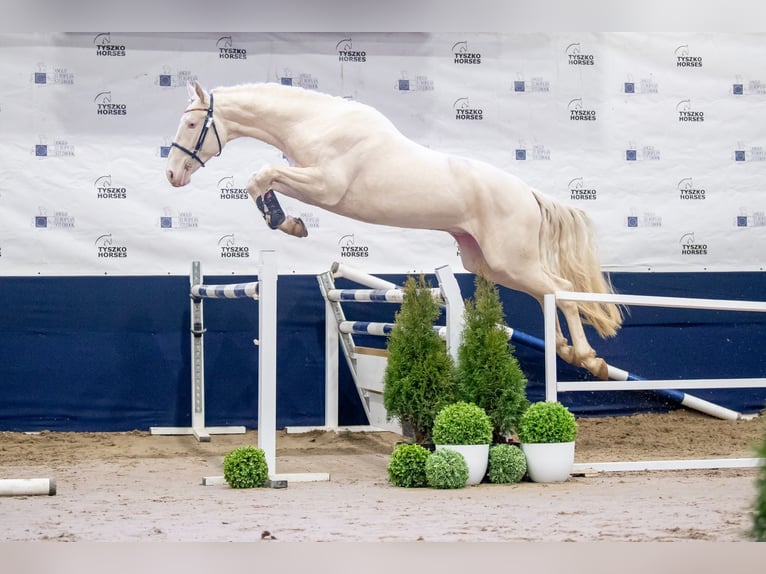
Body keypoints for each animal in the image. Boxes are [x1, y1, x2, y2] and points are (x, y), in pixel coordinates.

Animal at [166, 81, 622, 380]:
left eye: (190, 126)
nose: (172, 175)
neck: (318, 122)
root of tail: (528, 192)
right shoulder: (310, 181)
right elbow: (260, 180)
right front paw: (287, 221)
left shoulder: (325, 186)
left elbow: (260, 176)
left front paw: (287, 223)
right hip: (491, 263)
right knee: (547, 293)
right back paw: (566, 350)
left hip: (511, 258)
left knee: (560, 288)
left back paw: (588, 358)